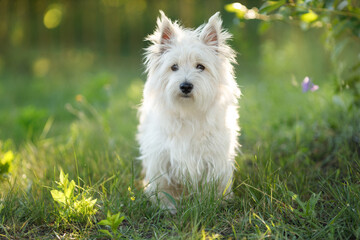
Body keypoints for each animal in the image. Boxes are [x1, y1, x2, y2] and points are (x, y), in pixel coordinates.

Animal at [136, 11, 240, 210]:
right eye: (174, 67)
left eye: (200, 66)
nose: (185, 86)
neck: (188, 112)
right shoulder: (162, 158)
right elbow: (165, 186)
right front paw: (167, 207)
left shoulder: (213, 158)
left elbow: (213, 184)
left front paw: (213, 203)